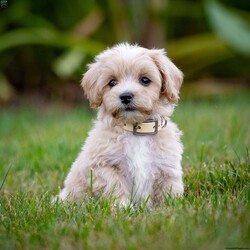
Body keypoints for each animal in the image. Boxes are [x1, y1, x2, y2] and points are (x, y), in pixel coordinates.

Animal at [58, 43, 184, 207]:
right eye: (112, 82)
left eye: (145, 80)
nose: (125, 96)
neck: (136, 129)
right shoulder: (102, 165)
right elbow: (115, 185)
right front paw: (122, 207)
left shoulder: (167, 166)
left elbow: (169, 189)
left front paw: (172, 207)